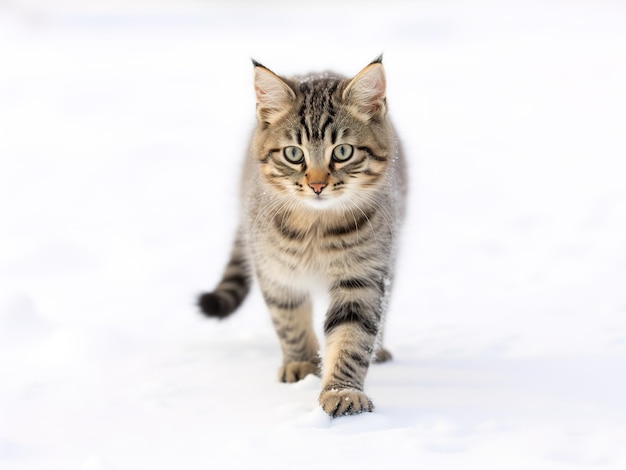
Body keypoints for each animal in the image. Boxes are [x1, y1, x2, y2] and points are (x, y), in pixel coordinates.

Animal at [197, 57, 408, 416]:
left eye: (343, 151)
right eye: (294, 154)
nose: (317, 184)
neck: (316, 228)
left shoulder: (363, 275)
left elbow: (351, 337)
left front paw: (342, 391)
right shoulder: (275, 272)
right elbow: (290, 322)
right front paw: (302, 364)